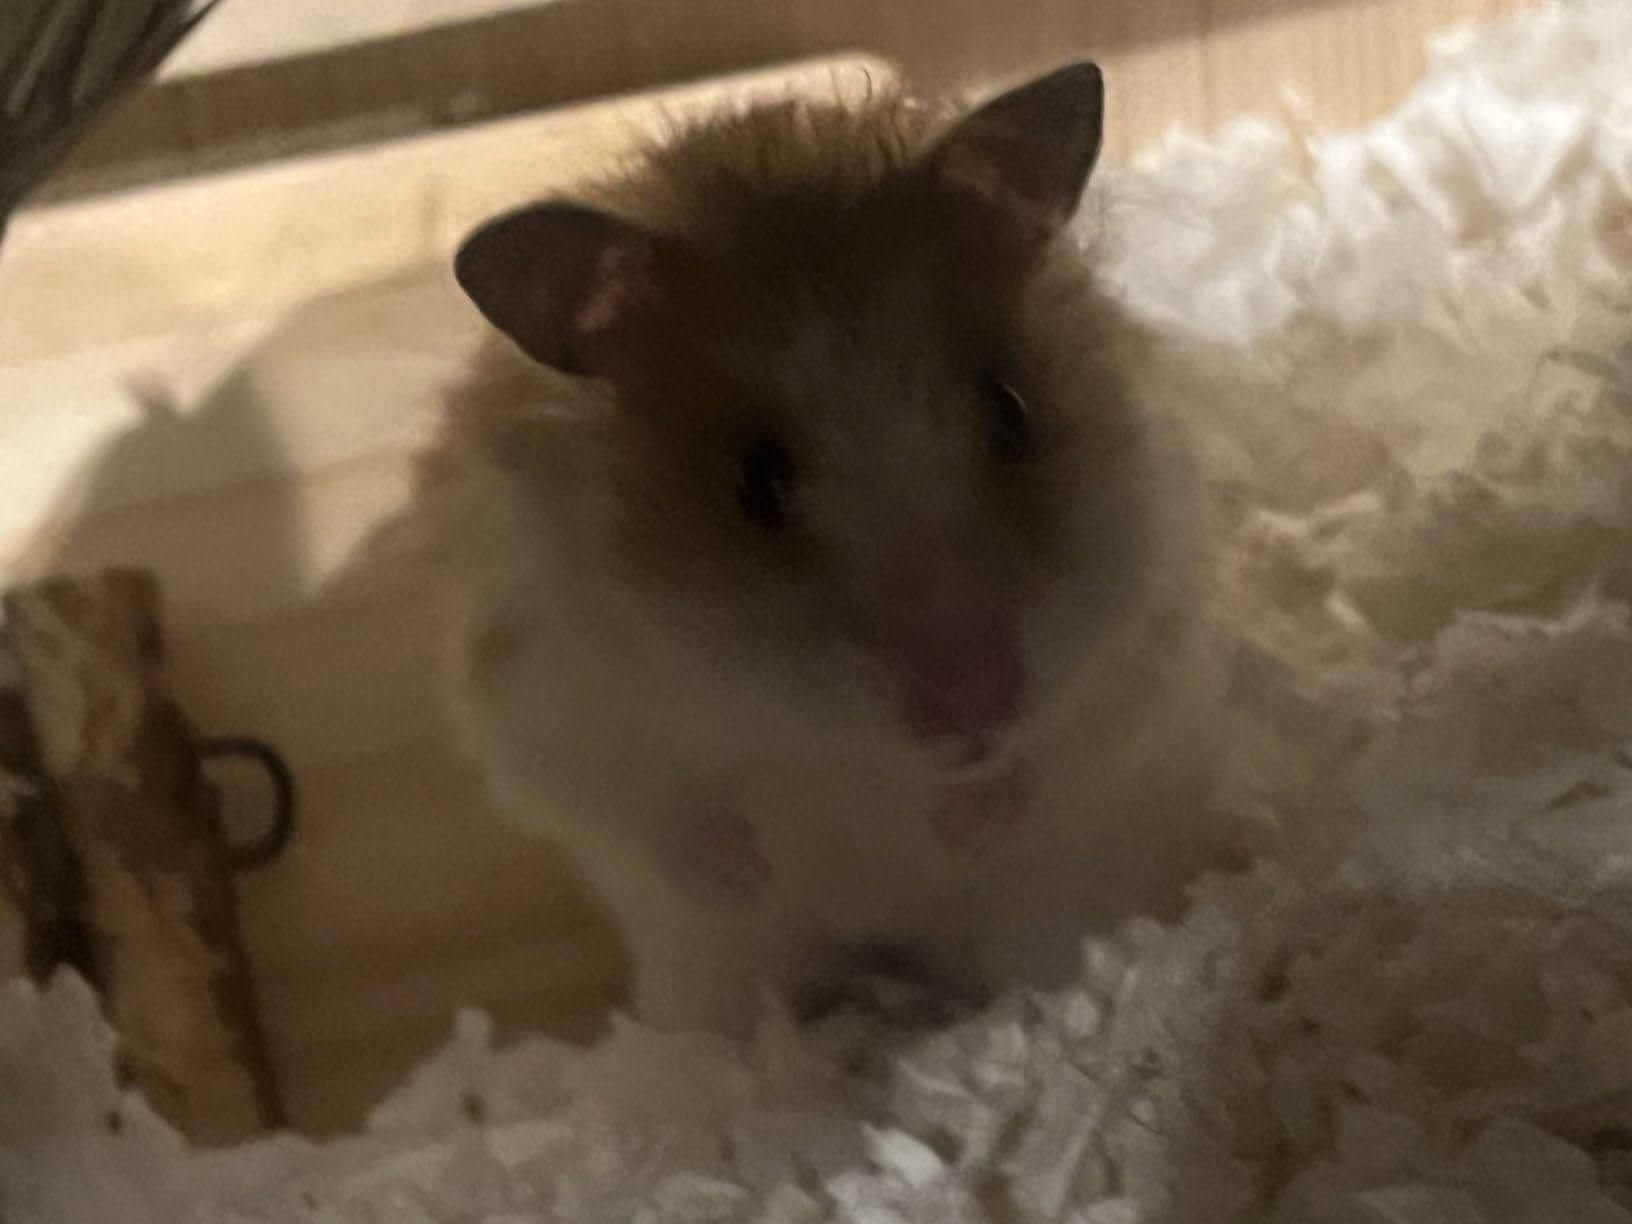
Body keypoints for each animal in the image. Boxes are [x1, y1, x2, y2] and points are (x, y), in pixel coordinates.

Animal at [421, 62, 1246, 1037]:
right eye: (756, 483)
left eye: (1011, 412)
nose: (973, 705)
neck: (828, 741)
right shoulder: (541, 683)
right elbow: (649, 807)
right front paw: (745, 869)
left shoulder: (1151, 615)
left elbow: (1068, 743)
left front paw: (958, 829)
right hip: (705, 973)